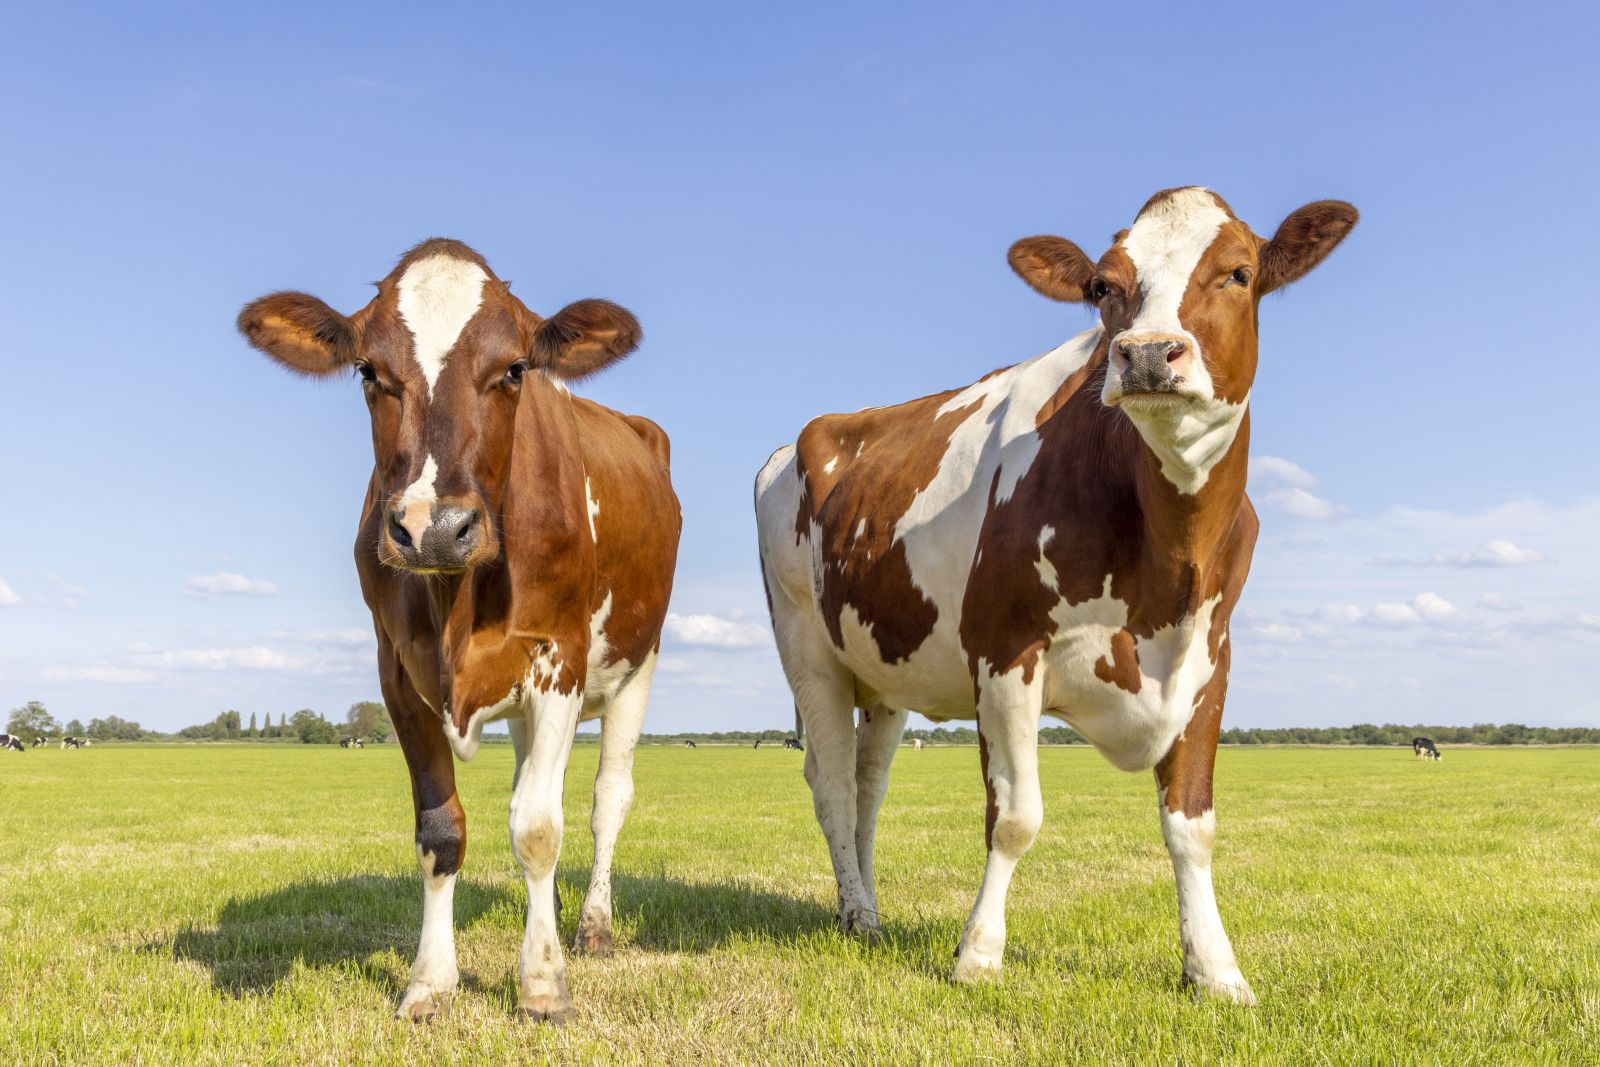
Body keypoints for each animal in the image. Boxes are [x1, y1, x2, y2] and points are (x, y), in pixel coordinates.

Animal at [240, 238, 678, 1023]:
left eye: (514, 369)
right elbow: (441, 832)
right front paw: (429, 982)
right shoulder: (395, 673)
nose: (434, 528)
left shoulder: (560, 658)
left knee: (605, 800)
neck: (458, 601)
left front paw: (543, 983)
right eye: (369, 371)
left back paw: (592, 925)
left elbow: (538, 826)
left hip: (639, 662)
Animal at [755, 185, 1356, 1004]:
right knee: (833, 787)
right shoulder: (1006, 653)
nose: (1146, 353)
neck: (1168, 558)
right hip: (807, 648)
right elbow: (1015, 817)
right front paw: (978, 956)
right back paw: (859, 913)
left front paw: (1215, 969)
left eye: (1238, 272)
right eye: (1103, 286)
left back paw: (865, 910)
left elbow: (1192, 825)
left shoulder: (1209, 662)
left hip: (885, 667)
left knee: (868, 785)